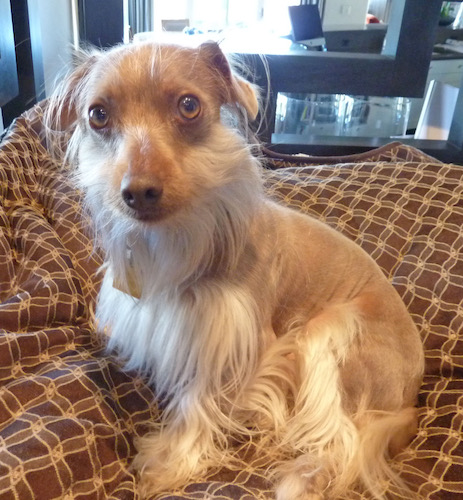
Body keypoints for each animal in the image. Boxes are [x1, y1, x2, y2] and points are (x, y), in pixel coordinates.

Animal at [47, 41, 424, 498]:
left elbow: (200, 402)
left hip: (330, 333)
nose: (138, 191)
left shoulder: (234, 341)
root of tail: (411, 398)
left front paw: (170, 461)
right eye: (98, 114)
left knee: (346, 439)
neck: (180, 241)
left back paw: (303, 476)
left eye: (189, 106)